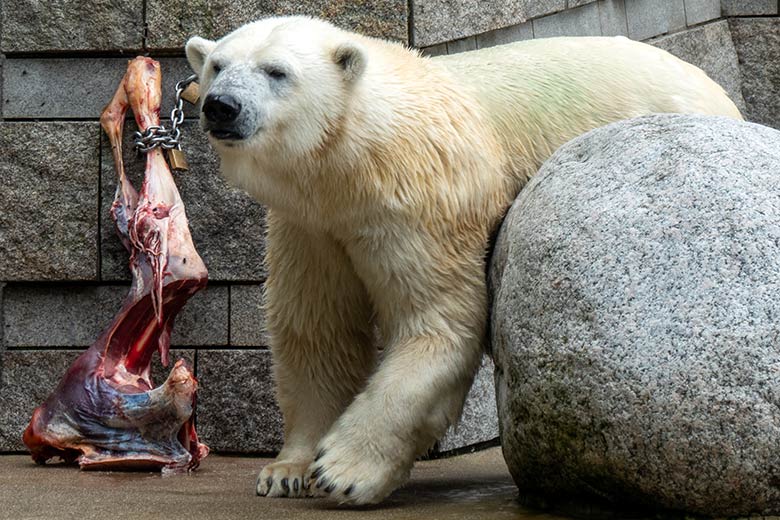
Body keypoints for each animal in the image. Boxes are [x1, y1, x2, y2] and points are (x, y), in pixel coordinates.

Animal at [184, 15, 744, 504]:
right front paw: (286, 471)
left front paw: (343, 470)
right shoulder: (312, 223)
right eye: (217, 65)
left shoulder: (420, 202)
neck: (352, 159)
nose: (221, 106)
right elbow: (319, 332)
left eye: (276, 71)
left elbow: (439, 323)